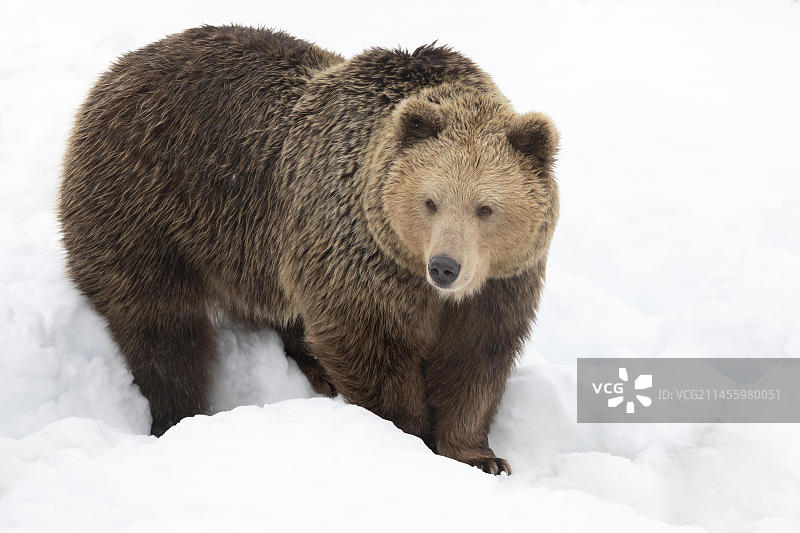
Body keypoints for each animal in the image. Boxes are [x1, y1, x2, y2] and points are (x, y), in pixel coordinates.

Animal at [58, 25, 559, 475]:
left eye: (485, 207)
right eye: (430, 201)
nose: (445, 267)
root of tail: (118, 70)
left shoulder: (500, 285)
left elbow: (476, 360)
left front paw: (479, 456)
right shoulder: (361, 258)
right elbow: (368, 346)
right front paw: (406, 433)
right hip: (148, 209)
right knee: (161, 327)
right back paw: (179, 412)